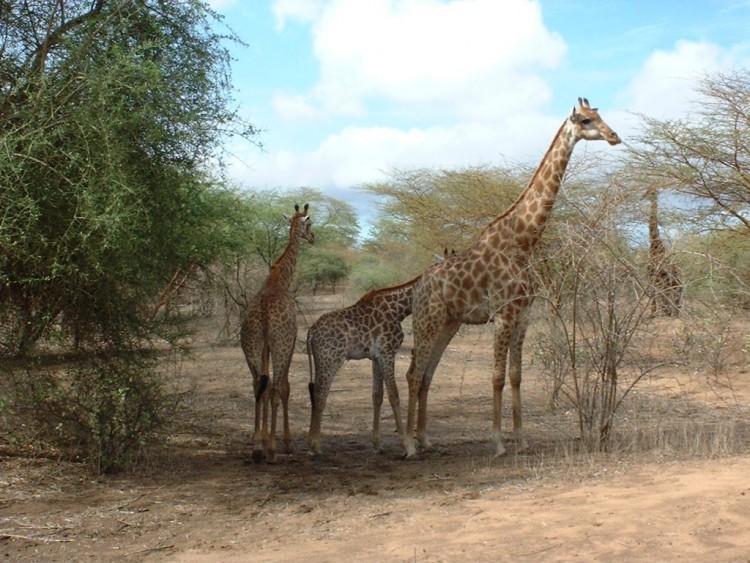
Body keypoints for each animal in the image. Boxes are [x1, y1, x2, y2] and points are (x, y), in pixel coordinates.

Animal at [239, 203, 312, 462]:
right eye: (310, 224)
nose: (313, 237)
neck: (280, 279)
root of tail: (264, 315)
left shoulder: (265, 349)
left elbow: (265, 385)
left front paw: (261, 439)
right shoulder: (290, 343)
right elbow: (285, 387)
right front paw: (286, 442)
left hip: (251, 347)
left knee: (258, 384)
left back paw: (257, 446)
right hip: (280, 346)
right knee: (277, 386)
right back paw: (270, 448)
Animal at [306, 276, 424, 456]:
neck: (399, 308)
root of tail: (311, 331)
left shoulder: (376, 357)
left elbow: (377, 396)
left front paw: (377, 444)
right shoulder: (387, 352)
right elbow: (394, 395)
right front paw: (405, 444)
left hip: (320, 361)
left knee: (314, 393)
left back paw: (313, 443)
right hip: (331, 359)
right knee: (320, 394)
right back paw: (316, 445)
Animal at [406, 98, 624, 458]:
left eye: (601, 114)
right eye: (584, 119)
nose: (614, 136)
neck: (523, 242)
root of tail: (419, 285)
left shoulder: (524, 314)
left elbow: (516, 375)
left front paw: (521, 439)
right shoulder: (504, 313)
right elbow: (496, 377)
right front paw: (498, 442)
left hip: (449, 322)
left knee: (426, 374)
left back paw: (424, 439)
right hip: (428, 319)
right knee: (413, 373)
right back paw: (409, 446)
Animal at [644, 189, 684, 318]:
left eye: (651, 192)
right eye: (647, 191)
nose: (643, 197)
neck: (655, 244)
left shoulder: (653, 274)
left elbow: (654, 295)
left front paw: (654, 314)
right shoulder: (652, 275)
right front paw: (655, 313)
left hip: (669, 280)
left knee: (670, 294)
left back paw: (670, 313)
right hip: (672, 281)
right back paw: (672, 313)